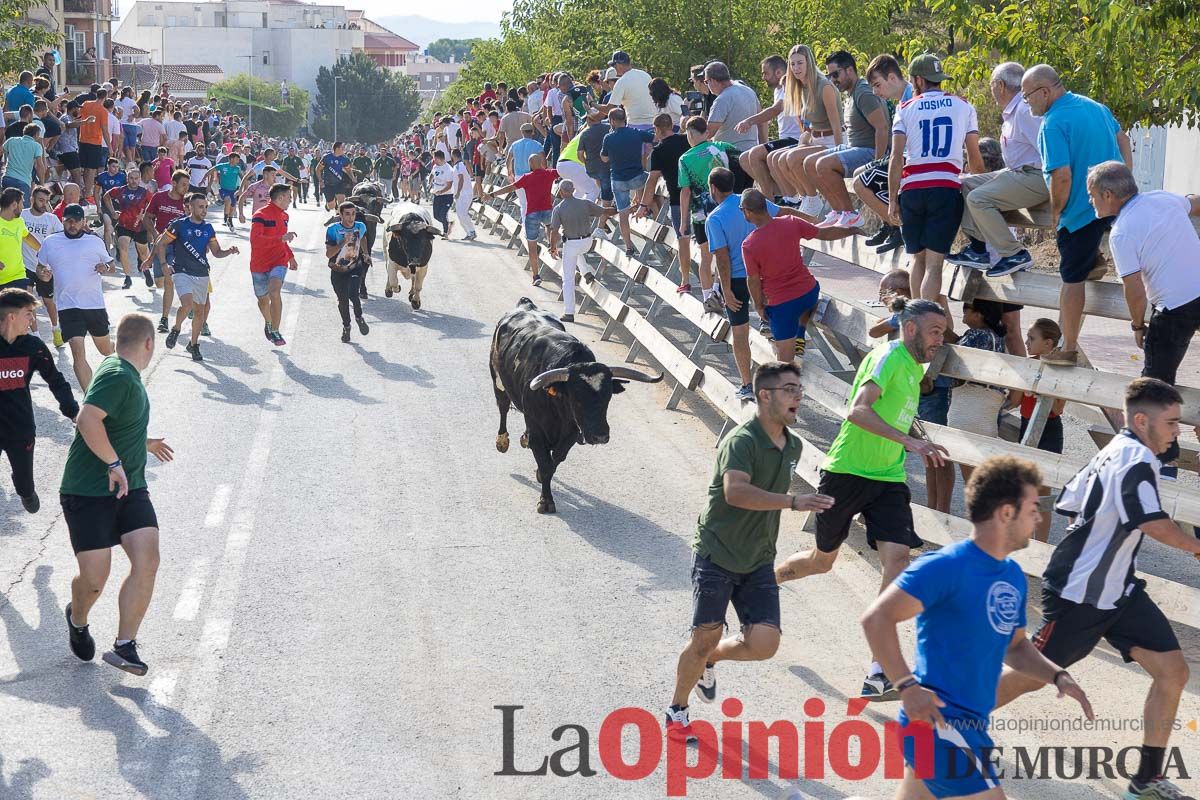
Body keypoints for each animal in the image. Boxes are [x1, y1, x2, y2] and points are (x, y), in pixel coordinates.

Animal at [487, 298, 662, 513]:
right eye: (577, 398)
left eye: (608, 398)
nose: (600, 436)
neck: (557, 408)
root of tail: (526, 304)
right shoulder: (537, 428)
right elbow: (545, 462)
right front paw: (545, 501)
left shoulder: (571, 434)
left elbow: (553, 463)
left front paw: (543, 483)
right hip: (497, 381)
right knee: (503, 407)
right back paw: (502, 441)